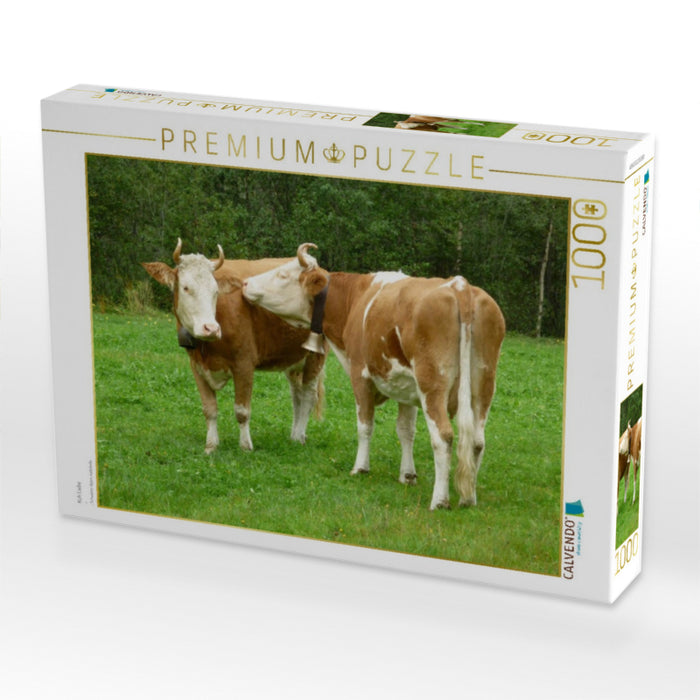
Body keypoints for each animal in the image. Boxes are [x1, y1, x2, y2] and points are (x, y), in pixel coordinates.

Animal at [142, 239, 325, 454]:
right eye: (186, 288)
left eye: (215, 291)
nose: (210, 328)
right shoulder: (196, 366)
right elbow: (209, 409)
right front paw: (211, 445)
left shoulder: (244, 364)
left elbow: (242, 410)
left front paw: (245, 446)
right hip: (293, 358)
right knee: (296, 396)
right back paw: (294, 434)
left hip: (315, 356)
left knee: (308, 396)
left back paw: (299, 436)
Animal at [242, 243, 505, 510]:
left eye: (283, 275)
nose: (245, 282)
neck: (355, 299)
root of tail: (460, 286)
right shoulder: (406, 388)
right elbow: (406, 430)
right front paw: (407, 475)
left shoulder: (360, 375)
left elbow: (365, 425)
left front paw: (360, 468)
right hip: (484, 385)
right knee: (477, 441)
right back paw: (468, 497)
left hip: (432, 385)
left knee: (443, 437)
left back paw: (440, 500)